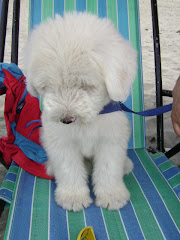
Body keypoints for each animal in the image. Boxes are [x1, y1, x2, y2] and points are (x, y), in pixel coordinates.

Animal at [23, 12, 136, 212]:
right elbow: (69, 170)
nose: (66, 120)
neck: (88, 122)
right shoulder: (62, 143)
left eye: (85, 86)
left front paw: (112, 196)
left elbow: (108, 169)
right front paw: (73, 197)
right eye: (47, 87)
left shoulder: (110, 141)